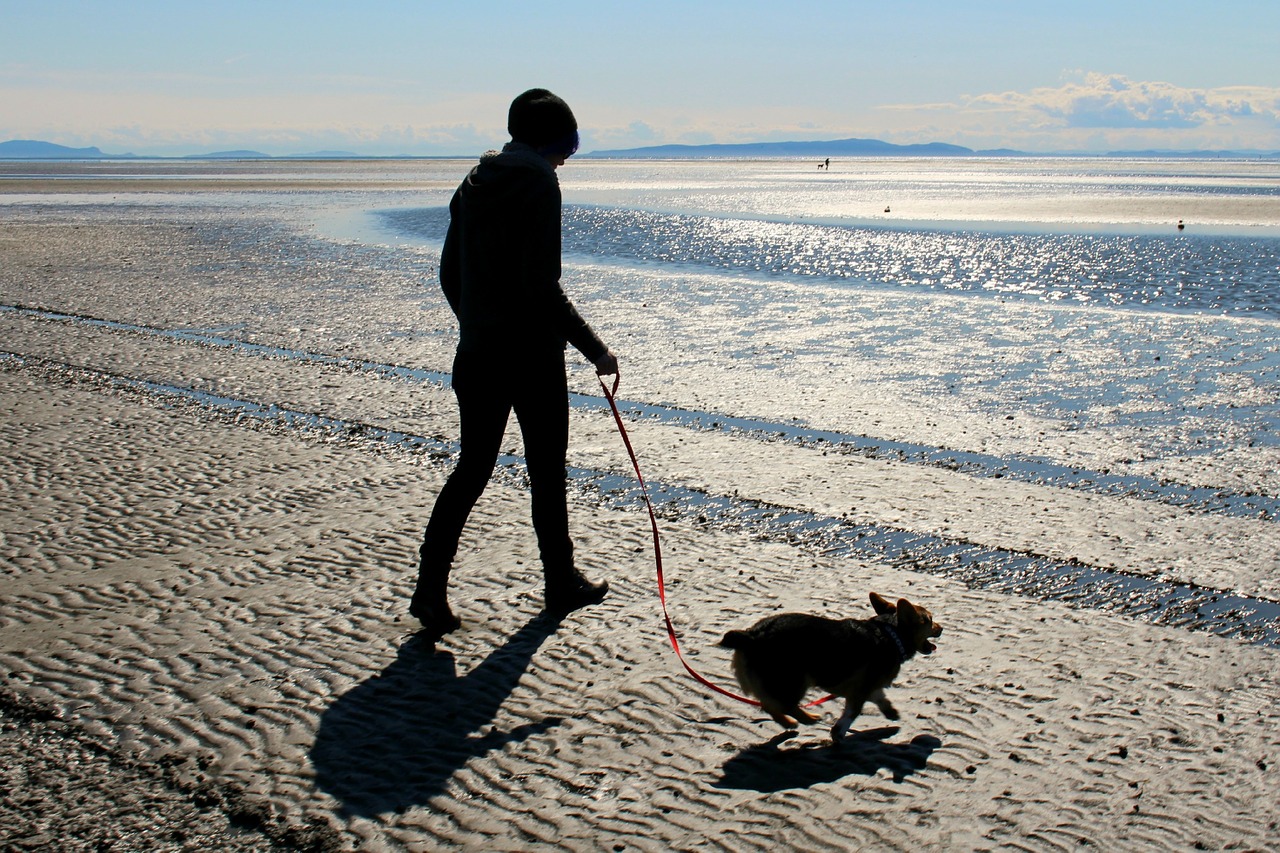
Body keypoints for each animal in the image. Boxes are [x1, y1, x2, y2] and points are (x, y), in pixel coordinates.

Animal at [721, 589, 942, 742]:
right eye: (930, 620)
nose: (941, 628)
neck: (891, 632)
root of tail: (751, 635)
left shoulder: (867, 685)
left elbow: (879, 697)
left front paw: (890, 711)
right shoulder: (861, 689)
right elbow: (853, 712)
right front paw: (839, 731)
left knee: (769, 705)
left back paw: (790, 722)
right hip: (797, 679)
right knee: (786, 704)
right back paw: (807, 718)